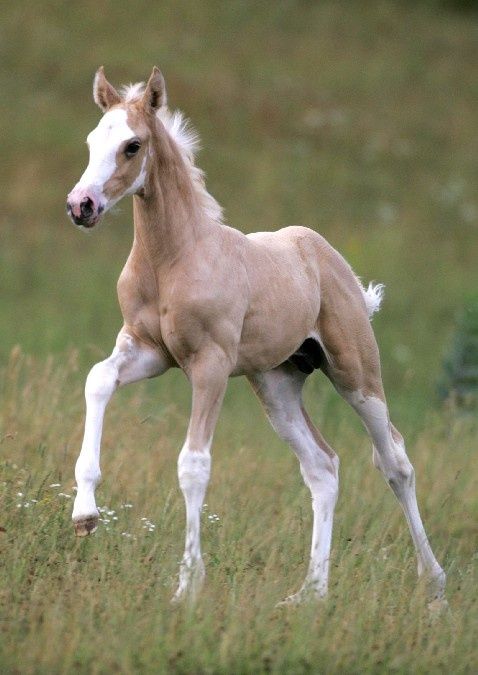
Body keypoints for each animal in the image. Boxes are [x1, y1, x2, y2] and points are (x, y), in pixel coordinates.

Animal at [66, 68, 444, 608]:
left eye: (132, 146)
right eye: (92, 140)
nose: (82, 205)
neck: (173, 258)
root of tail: (329, 257)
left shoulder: (210, 365)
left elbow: (193, 464)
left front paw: (187, 586)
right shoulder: (147, 351)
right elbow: (97, 380)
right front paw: (85, 513)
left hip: (356, 375)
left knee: (394, 460)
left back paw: (433, 586)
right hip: (276, 385)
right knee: (323, 467)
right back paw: (310, 595)